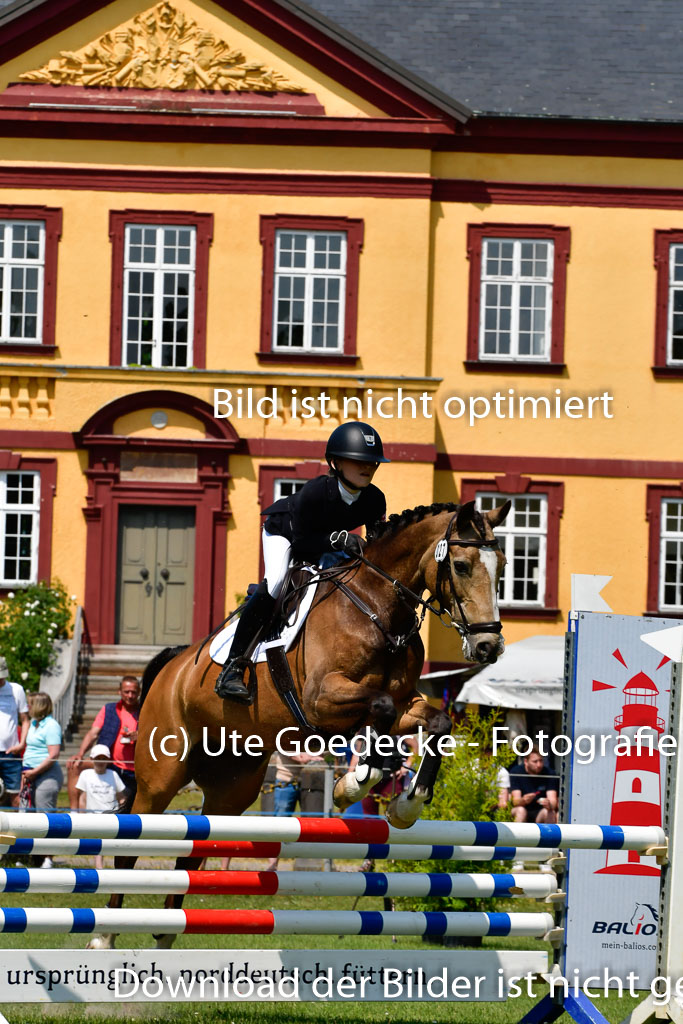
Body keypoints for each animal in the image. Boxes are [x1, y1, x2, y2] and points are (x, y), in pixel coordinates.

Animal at [90, 499, 507, 946]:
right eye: (461, 565)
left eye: (502, 564)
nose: (489, 645)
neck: (377, 609)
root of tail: (174, 667)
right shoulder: (322, 700)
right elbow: (378, 711)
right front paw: (352, 785)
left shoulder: (406, 703)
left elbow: (437, 724)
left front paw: (406, 804)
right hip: (161, 775)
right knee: (132, 843)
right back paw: (105, 936)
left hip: (231, 789)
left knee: (197, 850)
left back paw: (167, 934)